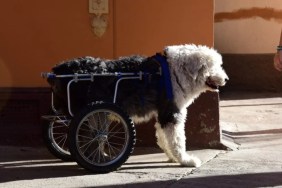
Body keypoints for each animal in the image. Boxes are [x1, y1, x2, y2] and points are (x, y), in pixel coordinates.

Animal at [48, 44, 228, 167]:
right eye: (214, 66)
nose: (226, 79)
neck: (175, 72)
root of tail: (58, 70)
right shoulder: (171, 113)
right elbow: (177, 140)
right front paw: (185, 160)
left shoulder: (162, 113)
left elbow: (163, 138)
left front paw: (171, 157)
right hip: (92, 111)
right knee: (91, 137)